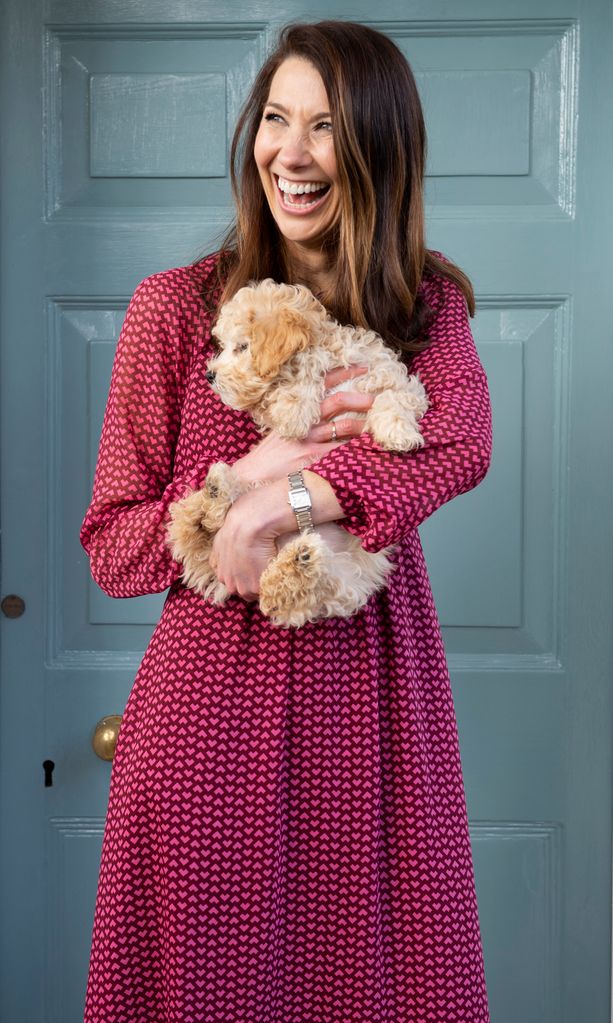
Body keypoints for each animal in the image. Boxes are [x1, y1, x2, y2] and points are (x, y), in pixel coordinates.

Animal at [165, 282, 429, 630]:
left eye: (242, 347)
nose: (210, 375)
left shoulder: (392, 379)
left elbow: (393, 399)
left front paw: (398, 434)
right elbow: (295, 383)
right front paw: (294, 411)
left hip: (350, 574)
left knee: (287, 593)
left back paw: (298, 561)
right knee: (193, 525)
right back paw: (213, 496)